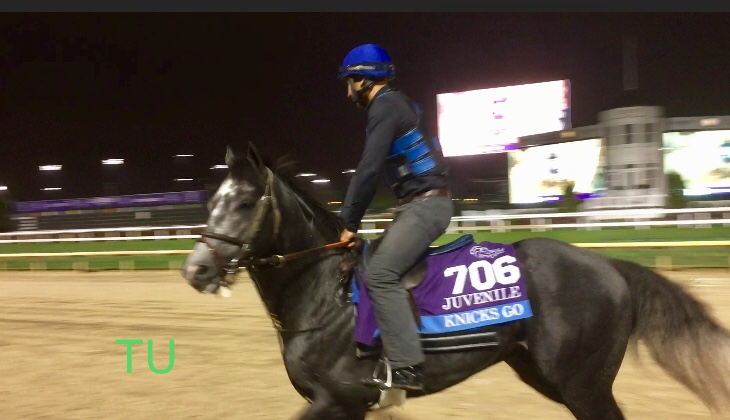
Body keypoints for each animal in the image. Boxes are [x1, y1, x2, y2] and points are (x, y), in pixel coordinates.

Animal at [179, 143, 728, 418]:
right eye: (211, 201)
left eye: (244, 202)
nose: (196, 269)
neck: (324, 296)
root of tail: (611, 267)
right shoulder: (351, 407)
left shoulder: (336, 399)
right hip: (548, 375)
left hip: (583, 383)